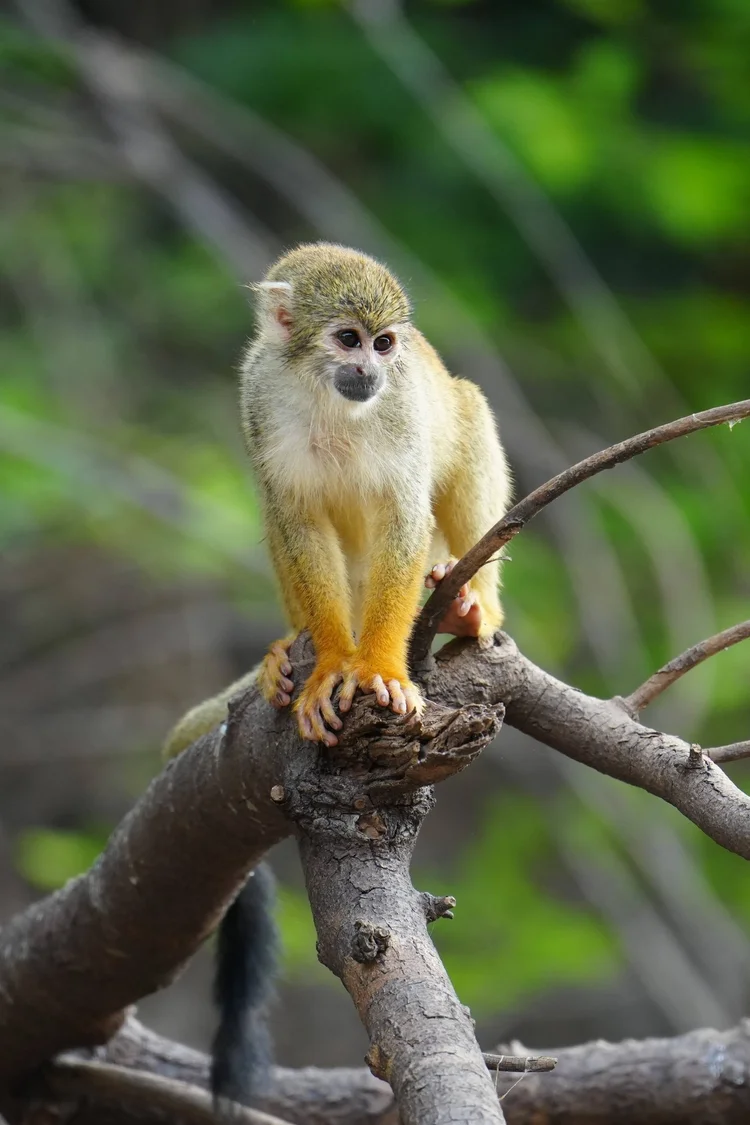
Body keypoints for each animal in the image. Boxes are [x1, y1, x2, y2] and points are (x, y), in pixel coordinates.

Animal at [162, 242, 512, 1108]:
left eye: (383, 344)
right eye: (346, 339)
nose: (370, 371)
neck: (328, 398)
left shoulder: (400, 412)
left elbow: (402, 515)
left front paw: (380, 670)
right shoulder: (259, 391)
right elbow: (292, 514)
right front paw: (325, 671)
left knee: (461, 417)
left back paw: (466, 607)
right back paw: (299, 654)